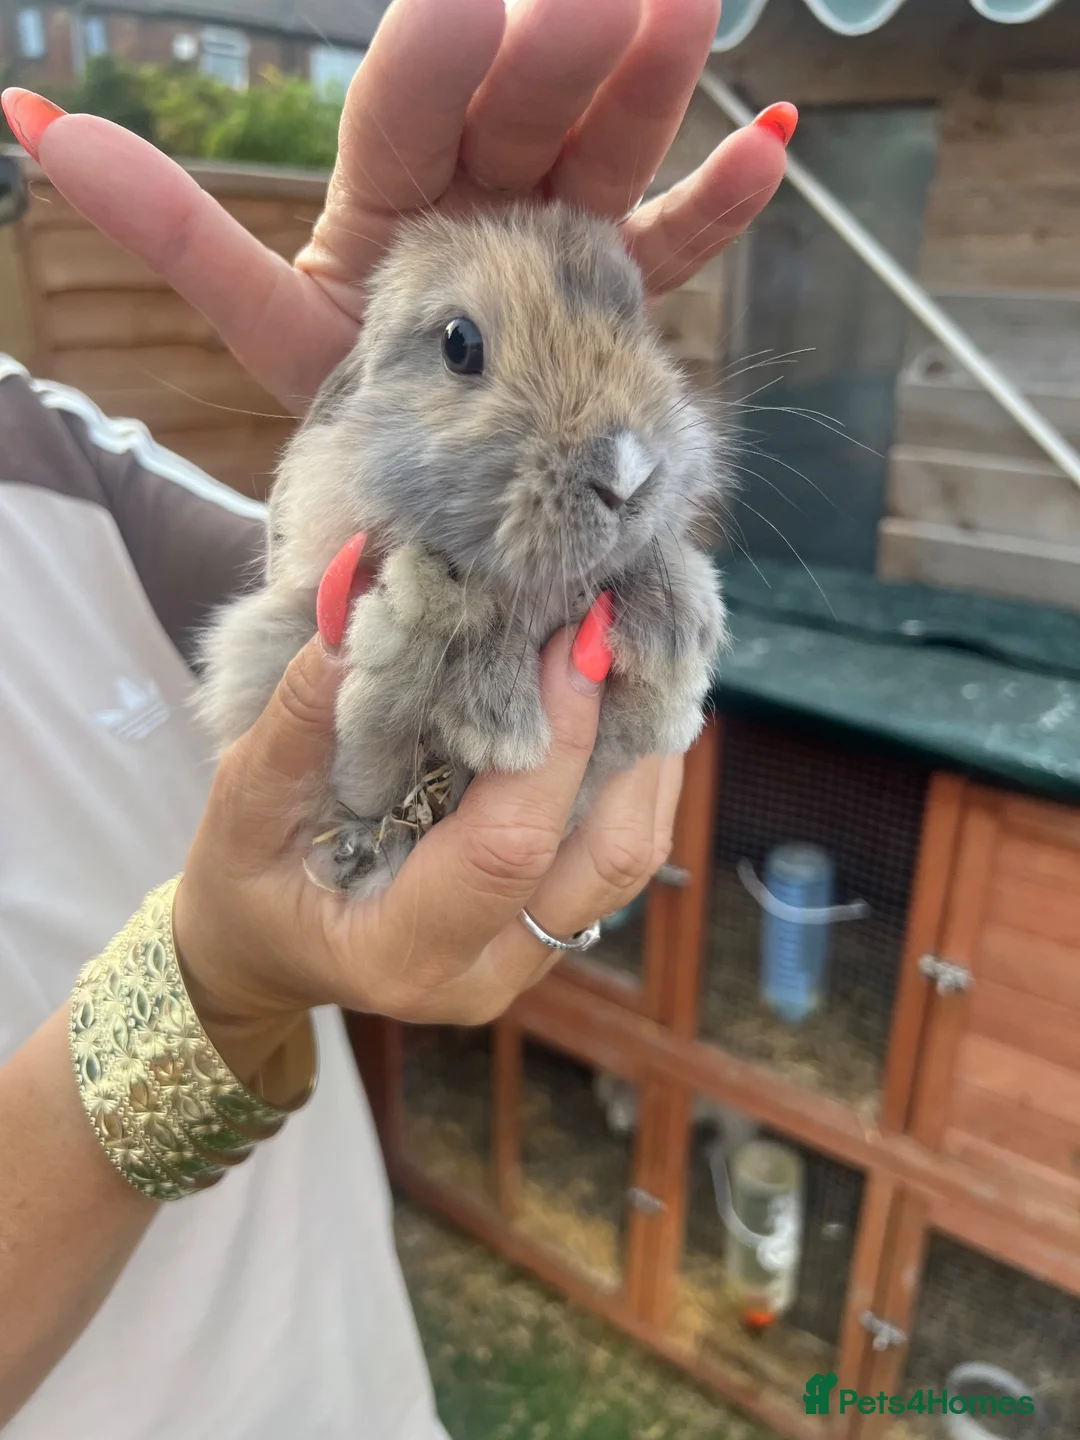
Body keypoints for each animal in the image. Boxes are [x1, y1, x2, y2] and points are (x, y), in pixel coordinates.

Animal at [197, 201, 728, 900]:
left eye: (637, 326)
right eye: (459, 342)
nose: (627, 475)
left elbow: (632, 728)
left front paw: (678, 633)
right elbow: (369, 739)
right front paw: (450, 659)